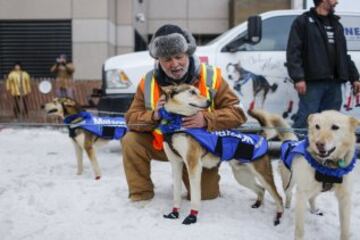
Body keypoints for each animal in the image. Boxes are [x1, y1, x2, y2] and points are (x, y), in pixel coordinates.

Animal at [248, 109, 360, 240]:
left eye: (335, 127)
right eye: (317, 126)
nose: (319, 144)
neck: (328, 166)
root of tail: (290, 141)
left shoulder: (345, 198)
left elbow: (345, 229)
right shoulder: (302, 194)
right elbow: (300, 229)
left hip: (316, 188)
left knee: (312, 198)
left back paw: (314, 211)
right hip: (290, 182)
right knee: (288, 195)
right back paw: (287, 208)